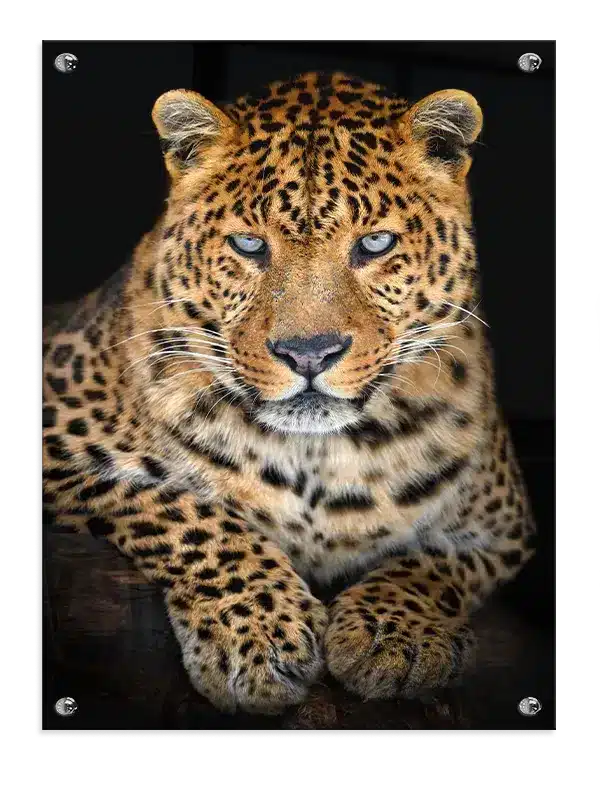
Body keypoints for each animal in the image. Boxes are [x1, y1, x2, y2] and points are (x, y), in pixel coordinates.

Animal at [42, 71, 537, 715]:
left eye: (375, 244)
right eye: (250, 246)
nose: (309, 353)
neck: (317, 458)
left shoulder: (504, 525)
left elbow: (436, 566)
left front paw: (395, 636)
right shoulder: (60, 449)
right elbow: (184, 511)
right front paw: (256, 636)